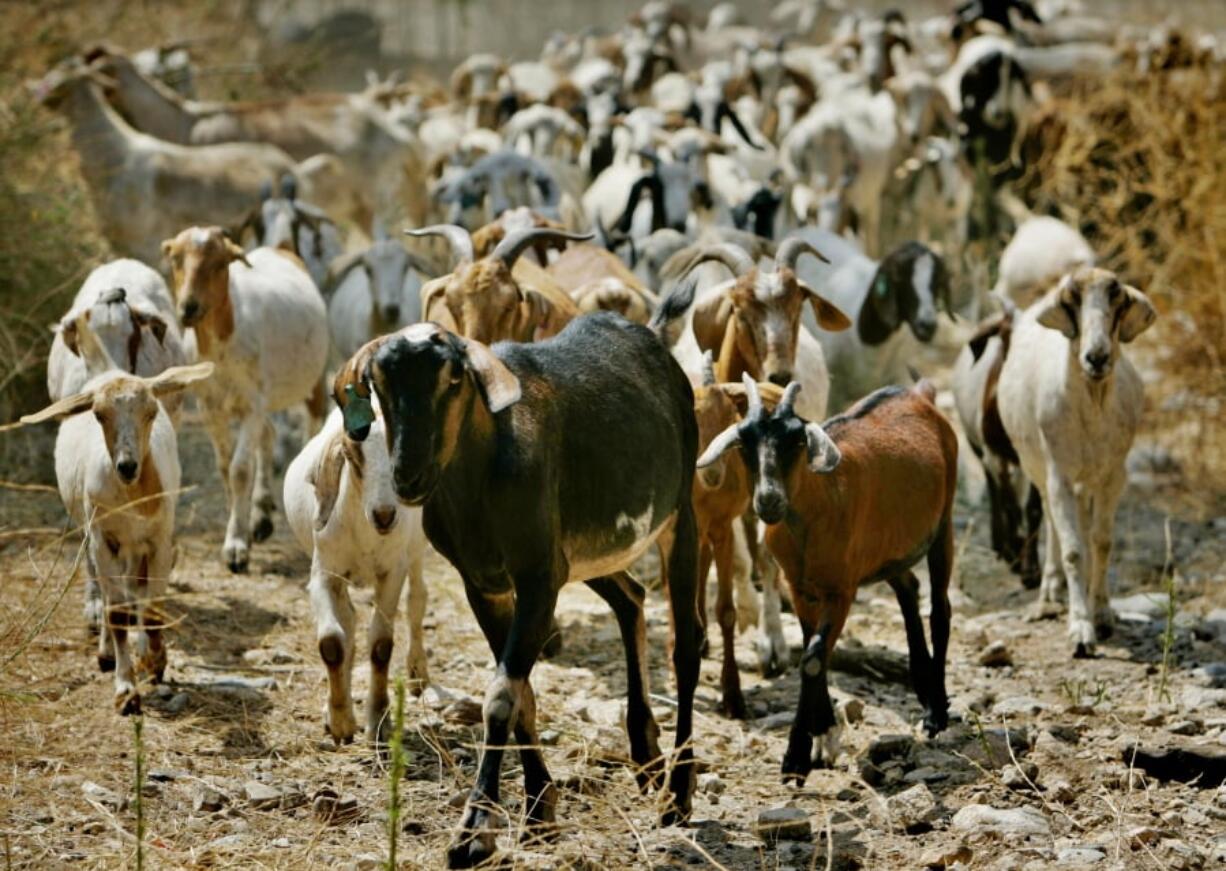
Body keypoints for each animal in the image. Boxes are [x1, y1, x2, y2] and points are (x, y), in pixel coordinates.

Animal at [21, 365, 215, 721]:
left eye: (152, 412)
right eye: (99, 415)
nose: (127, 466)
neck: (132, 498)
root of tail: (109, 369)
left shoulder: (159, 540)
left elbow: (151, 610)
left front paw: (154, 661)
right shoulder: (103, 539)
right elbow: (117, 613)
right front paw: (126, 690)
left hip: (136, 548)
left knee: (137, 590)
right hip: (100, 540)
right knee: (109, 590)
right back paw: (108, 653)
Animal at [284, 402, 429, 745]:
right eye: (350, 454)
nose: (385, 515)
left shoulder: (393, 572)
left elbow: (381, 645)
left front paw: (378, 721)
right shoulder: (324, 574)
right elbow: (332, 642)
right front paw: (339, 722)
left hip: (417, 550)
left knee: (417, 601)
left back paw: (418, 673)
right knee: (348, 620)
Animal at [335, 311, 701, 868]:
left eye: (454, 378)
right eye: (377, 383)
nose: (409, 476)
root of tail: (652, 335)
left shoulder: (535, 578)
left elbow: (502, 697)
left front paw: (474, 832)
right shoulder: (487, 583)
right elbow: (523, 696)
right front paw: (538, 809)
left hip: (681, 513)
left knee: (686, 643)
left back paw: (677, 794)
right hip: (585, 554)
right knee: (632, 598)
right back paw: (645, 758)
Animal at [701, 375, 956, 785]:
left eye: (797, 441)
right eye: (745, 443)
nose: (769, 500)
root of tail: (918, 393)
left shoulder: (841, 590)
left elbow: (813, 659)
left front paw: (797, 757)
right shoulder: (800, 587)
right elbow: (812, 650)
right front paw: (822, 736)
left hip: (943, 524)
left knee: (940, 610)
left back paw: (936, 712)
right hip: (889, 547)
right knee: (908, 589)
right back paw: (921, 686)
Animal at [995, 266, 1157, 657]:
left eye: (1118, 301)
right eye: (1071, 301)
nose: (1096, 358)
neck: (1093, 409)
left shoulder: (1114, 474)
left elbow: (1102, 542)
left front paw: (1102, 613)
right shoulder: (1060, 475)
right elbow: (1072, 551)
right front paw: (1081, 630)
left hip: (1087, 478)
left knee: (1081, 526)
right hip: (1038, 468)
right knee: (1053, 522)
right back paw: (1052, 590)